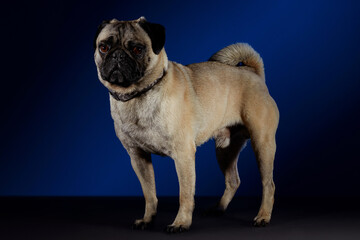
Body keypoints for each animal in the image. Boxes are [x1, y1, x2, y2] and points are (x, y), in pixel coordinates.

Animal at [93, 16, 278, 232]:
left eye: (138, 49)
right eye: (103, 47)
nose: (117, 55)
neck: (138, 95)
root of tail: (252, 72)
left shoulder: (183, 155)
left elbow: (185, 194)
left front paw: (181, 222)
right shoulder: (138, 157)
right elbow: (149, 194)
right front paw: (148, 219)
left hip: (262, 144)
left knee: (268, 184)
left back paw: (263, 216)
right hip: (225, 149)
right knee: (233, 181)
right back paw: (218, 208)